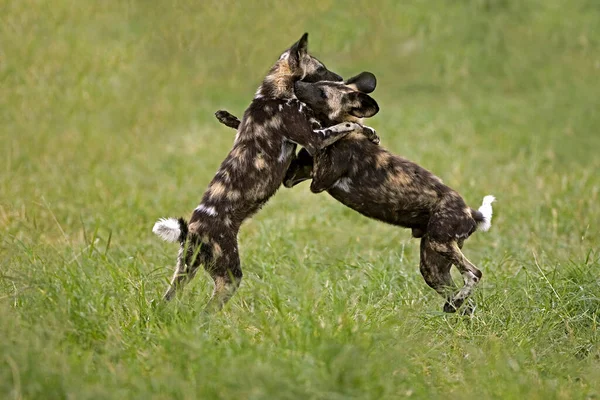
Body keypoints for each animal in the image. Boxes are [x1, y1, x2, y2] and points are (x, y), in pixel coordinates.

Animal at [150, 32, 378, 310]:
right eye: (320, 69)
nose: (341, 78)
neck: (272, 95)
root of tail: (192, 231)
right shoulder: (315, 139)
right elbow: (346, 125)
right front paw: (366, 130)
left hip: (184, 271)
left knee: (166, 301)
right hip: (229, 277)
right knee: (207, 309)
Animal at [213, 72, 494, 316]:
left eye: (322, 93)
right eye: (319, 83)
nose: (296, 84)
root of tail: (471, 212)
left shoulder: (319, 180)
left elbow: (325, 138)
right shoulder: (293, 176)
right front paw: (228, 117)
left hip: (440, 244)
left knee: (475, 273)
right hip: (432, 266)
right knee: (463, 300)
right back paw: (455, 311)